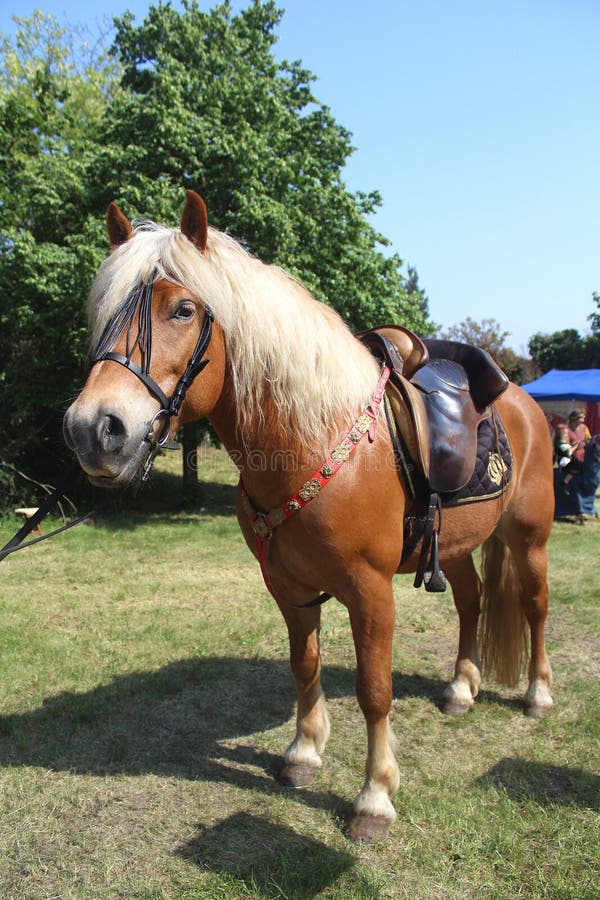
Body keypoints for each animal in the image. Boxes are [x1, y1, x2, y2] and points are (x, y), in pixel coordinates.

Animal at [63, 190, 556, 844]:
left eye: (184, 310)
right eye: (102, 310)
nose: (94, 429)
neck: (312, 441)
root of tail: (521, 398)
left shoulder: (371, 591)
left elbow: (375, 691)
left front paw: (374, 798)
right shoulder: (288, 585)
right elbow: (305, 666)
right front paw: (303, 753)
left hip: (528, 539)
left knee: (534, 606)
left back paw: (537, 694)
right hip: (453, 546)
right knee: (471, 601)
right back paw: (460, 688)